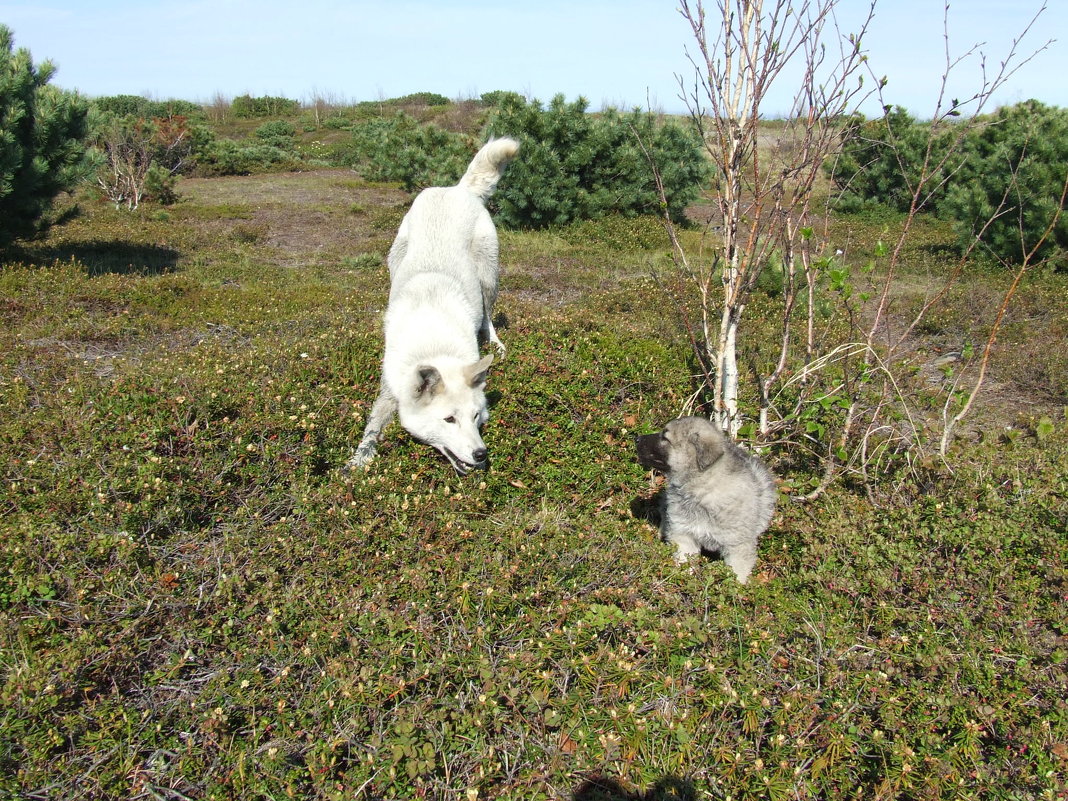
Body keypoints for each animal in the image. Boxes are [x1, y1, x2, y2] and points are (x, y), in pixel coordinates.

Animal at [348, 138, 519, 476]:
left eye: (476, 417)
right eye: (449, 420)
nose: (481, 454)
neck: (433, 340)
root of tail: (456, 189)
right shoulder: (389, 388)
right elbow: (373, 425)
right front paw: (360, 458)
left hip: (488, 278)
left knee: (488, 317)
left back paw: (496, 343)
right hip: (396, 259)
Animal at [632, 420, 777, 585]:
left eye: (665, 437)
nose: (636, 439)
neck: (702, 490)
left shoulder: (738, 547)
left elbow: (737, 573)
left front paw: (737, 588)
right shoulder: (684, 534)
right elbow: (684, 561)